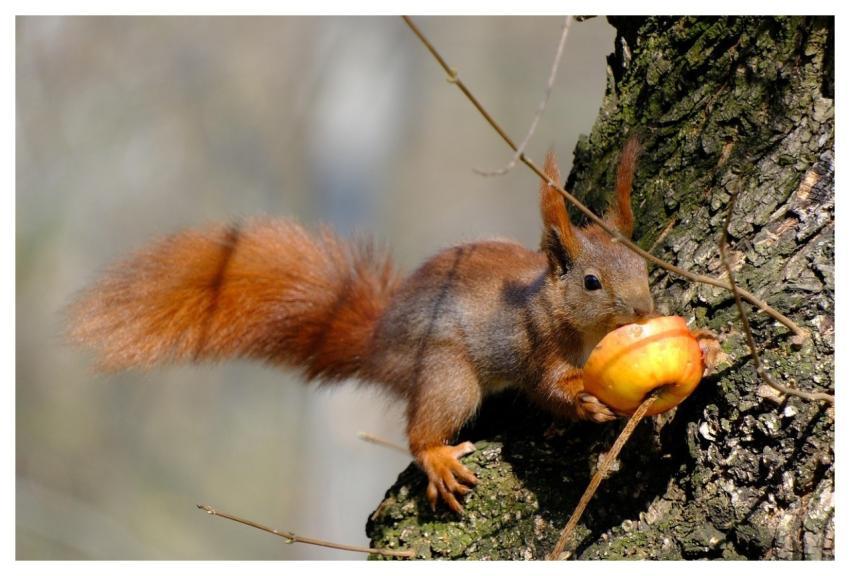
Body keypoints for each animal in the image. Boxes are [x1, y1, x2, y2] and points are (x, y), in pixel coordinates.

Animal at [69, 136, 669, 513]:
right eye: (591, 282)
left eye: (644, 266)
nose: (644, 310)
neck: (552, 304)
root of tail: (382, 345)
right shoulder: (536, 341)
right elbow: (547, 388)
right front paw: (585, 401)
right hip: (448, 374)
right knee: (422, 429)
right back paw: (437, 456)